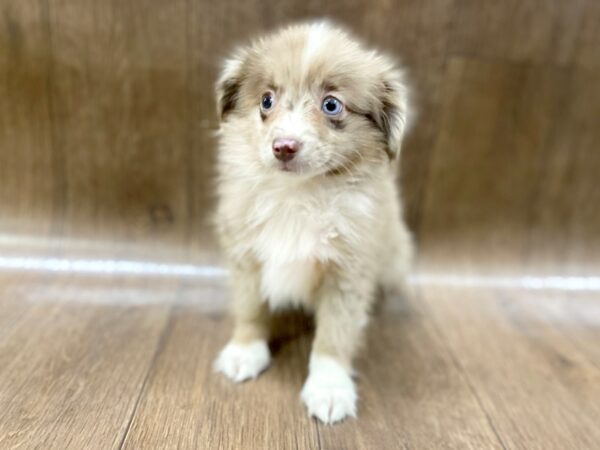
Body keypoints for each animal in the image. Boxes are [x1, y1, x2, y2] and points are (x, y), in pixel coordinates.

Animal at [211, 21, 412, 424]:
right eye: (266, 101)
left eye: (331, 104)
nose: (284, 147)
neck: (298, 195)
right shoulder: (246, 256)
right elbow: (250, 309)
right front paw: (245, 350)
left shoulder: (347, 273)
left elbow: (334, 335)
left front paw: (329, 387)